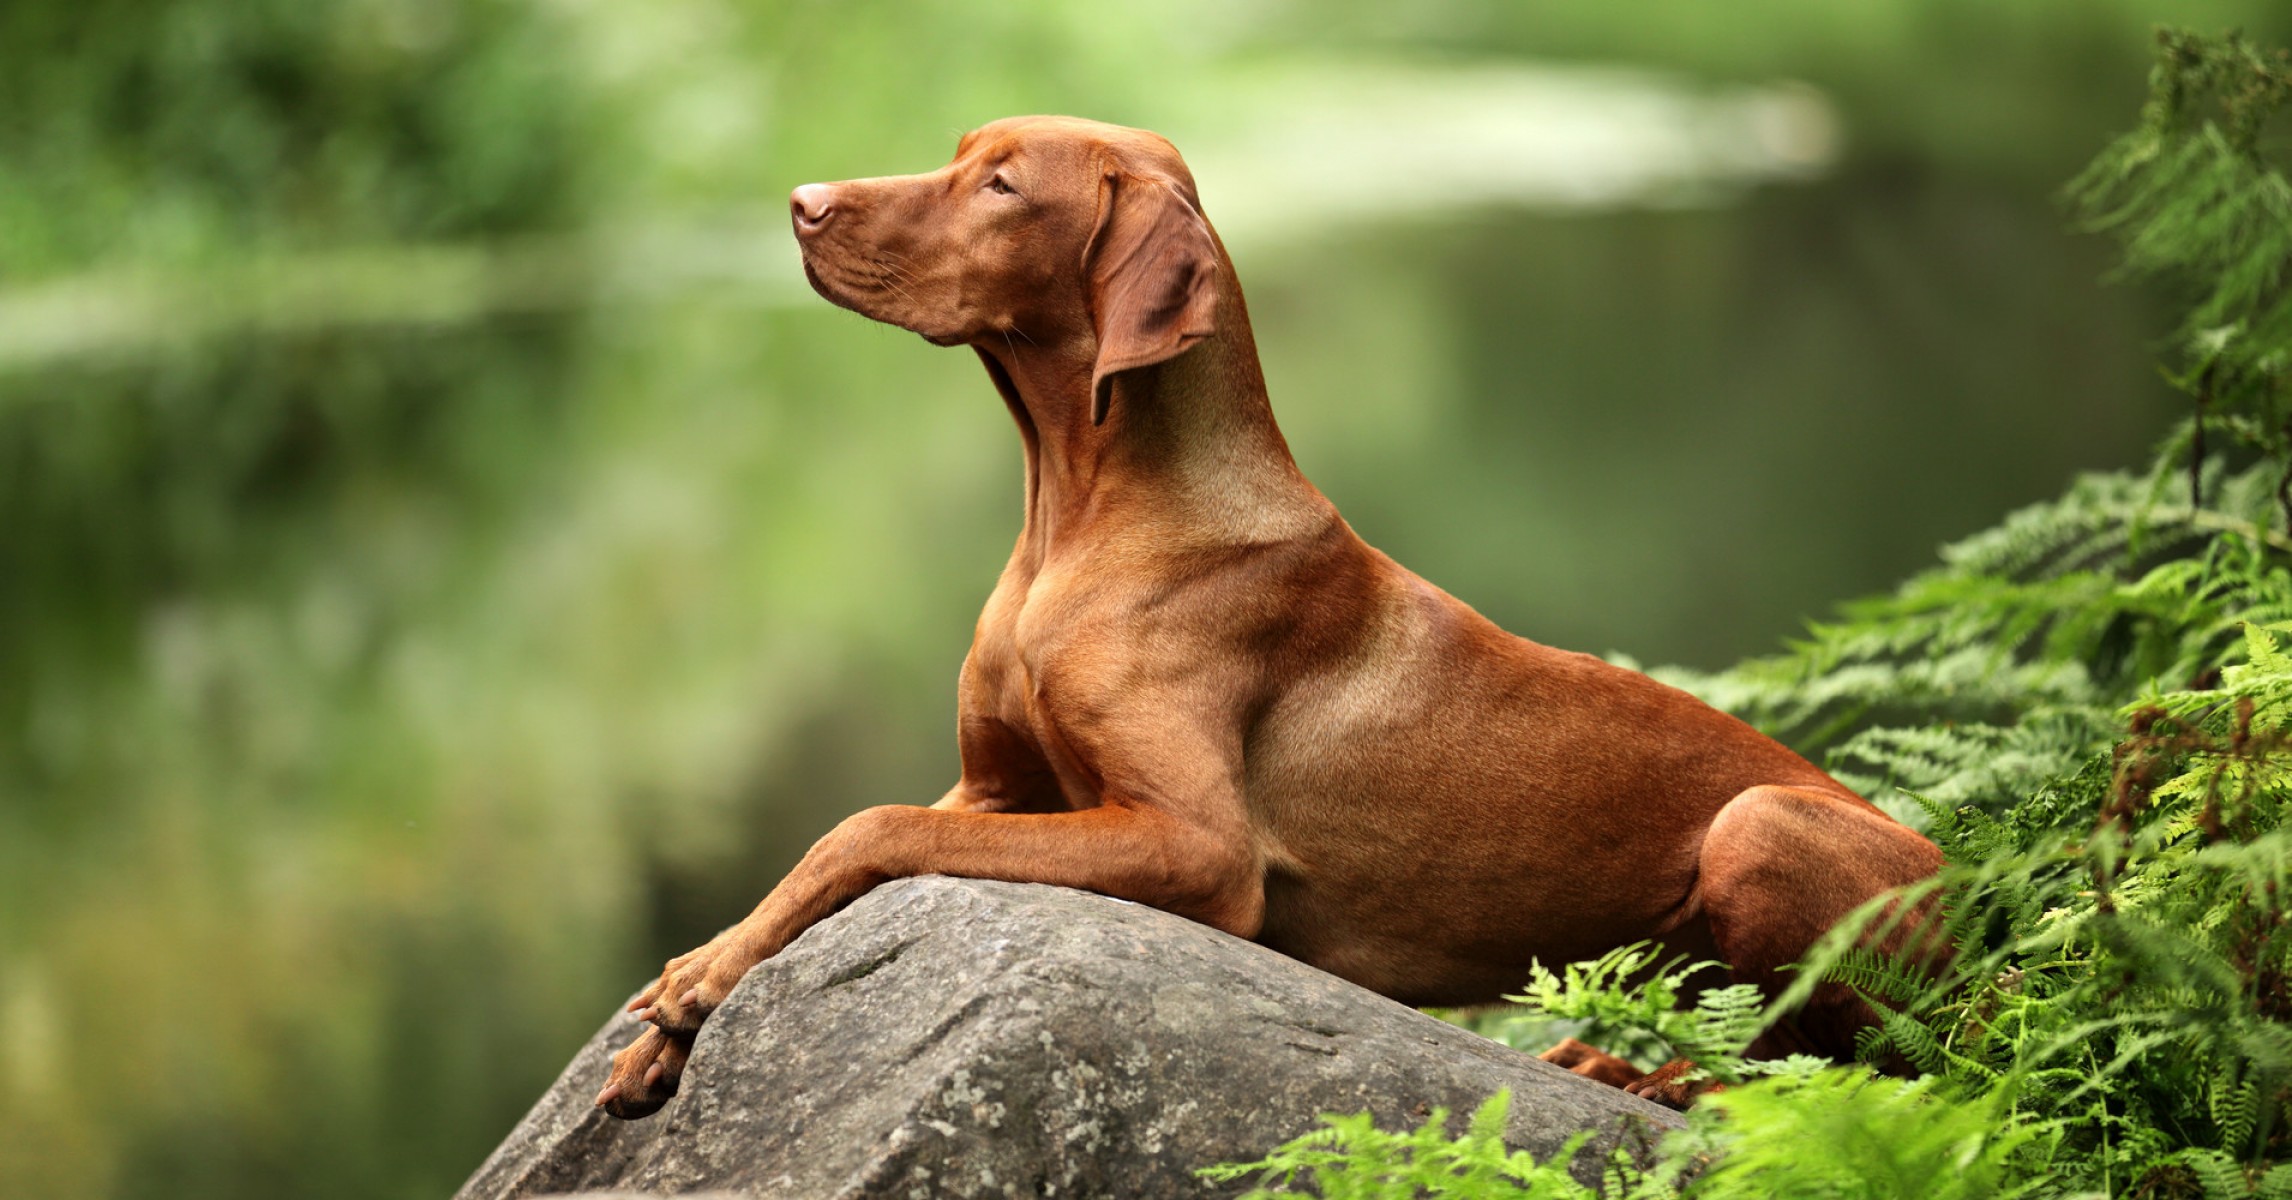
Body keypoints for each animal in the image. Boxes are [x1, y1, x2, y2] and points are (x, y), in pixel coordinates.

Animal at [586, 117, 1934, 1122]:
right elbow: (832, 847)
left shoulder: (1195, 846)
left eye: (1004, 183)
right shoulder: (996, 789)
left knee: (1850, 1069)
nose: (802, 201)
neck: (1074, 522)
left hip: (1760, 825)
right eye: (960, 152)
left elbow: (864, 827)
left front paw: (695, 978)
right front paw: (688, 1000)